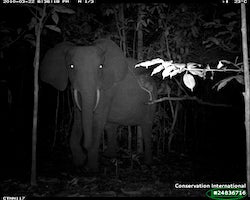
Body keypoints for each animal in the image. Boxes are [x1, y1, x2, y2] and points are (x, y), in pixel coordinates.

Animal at [40, 39, 157, 172]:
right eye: (71, 66)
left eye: (101, 66)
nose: (85, 146)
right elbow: (78, 119)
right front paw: (79, 162)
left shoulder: (107, 90)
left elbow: (97, 121)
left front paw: (91, 169)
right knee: (111, 126)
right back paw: (109, 156)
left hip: (152, 99)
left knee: (146, 126)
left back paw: (148, 163)